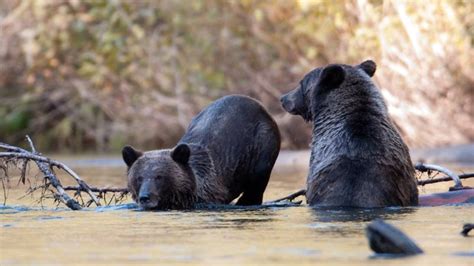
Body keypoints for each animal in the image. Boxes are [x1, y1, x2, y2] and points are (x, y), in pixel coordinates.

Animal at [120, 95, 282, 210]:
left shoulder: (211, 192)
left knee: (258, 181)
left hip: (263, 142)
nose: (145, 197)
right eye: (139, 177)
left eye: (159, 176)